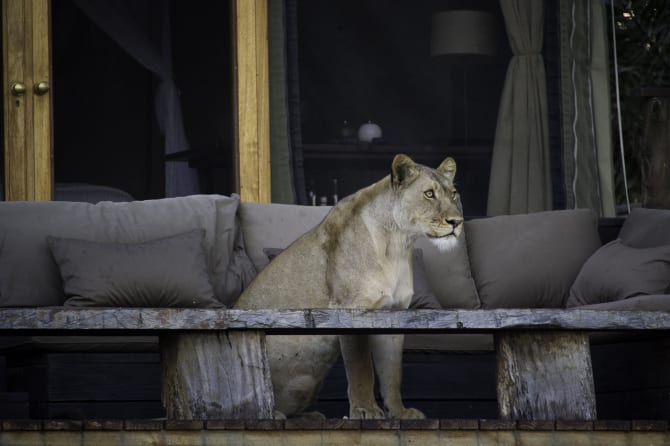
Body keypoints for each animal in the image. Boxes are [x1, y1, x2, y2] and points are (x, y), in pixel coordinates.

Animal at [234, 154, 464, 419]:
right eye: (429, 194)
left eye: (453, 194)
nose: (457, 222)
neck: (398, 244)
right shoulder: (352, 309)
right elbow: (361, 367)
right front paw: (366, 411)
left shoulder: (394, 313)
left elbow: (392, 372)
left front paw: (400, 412)